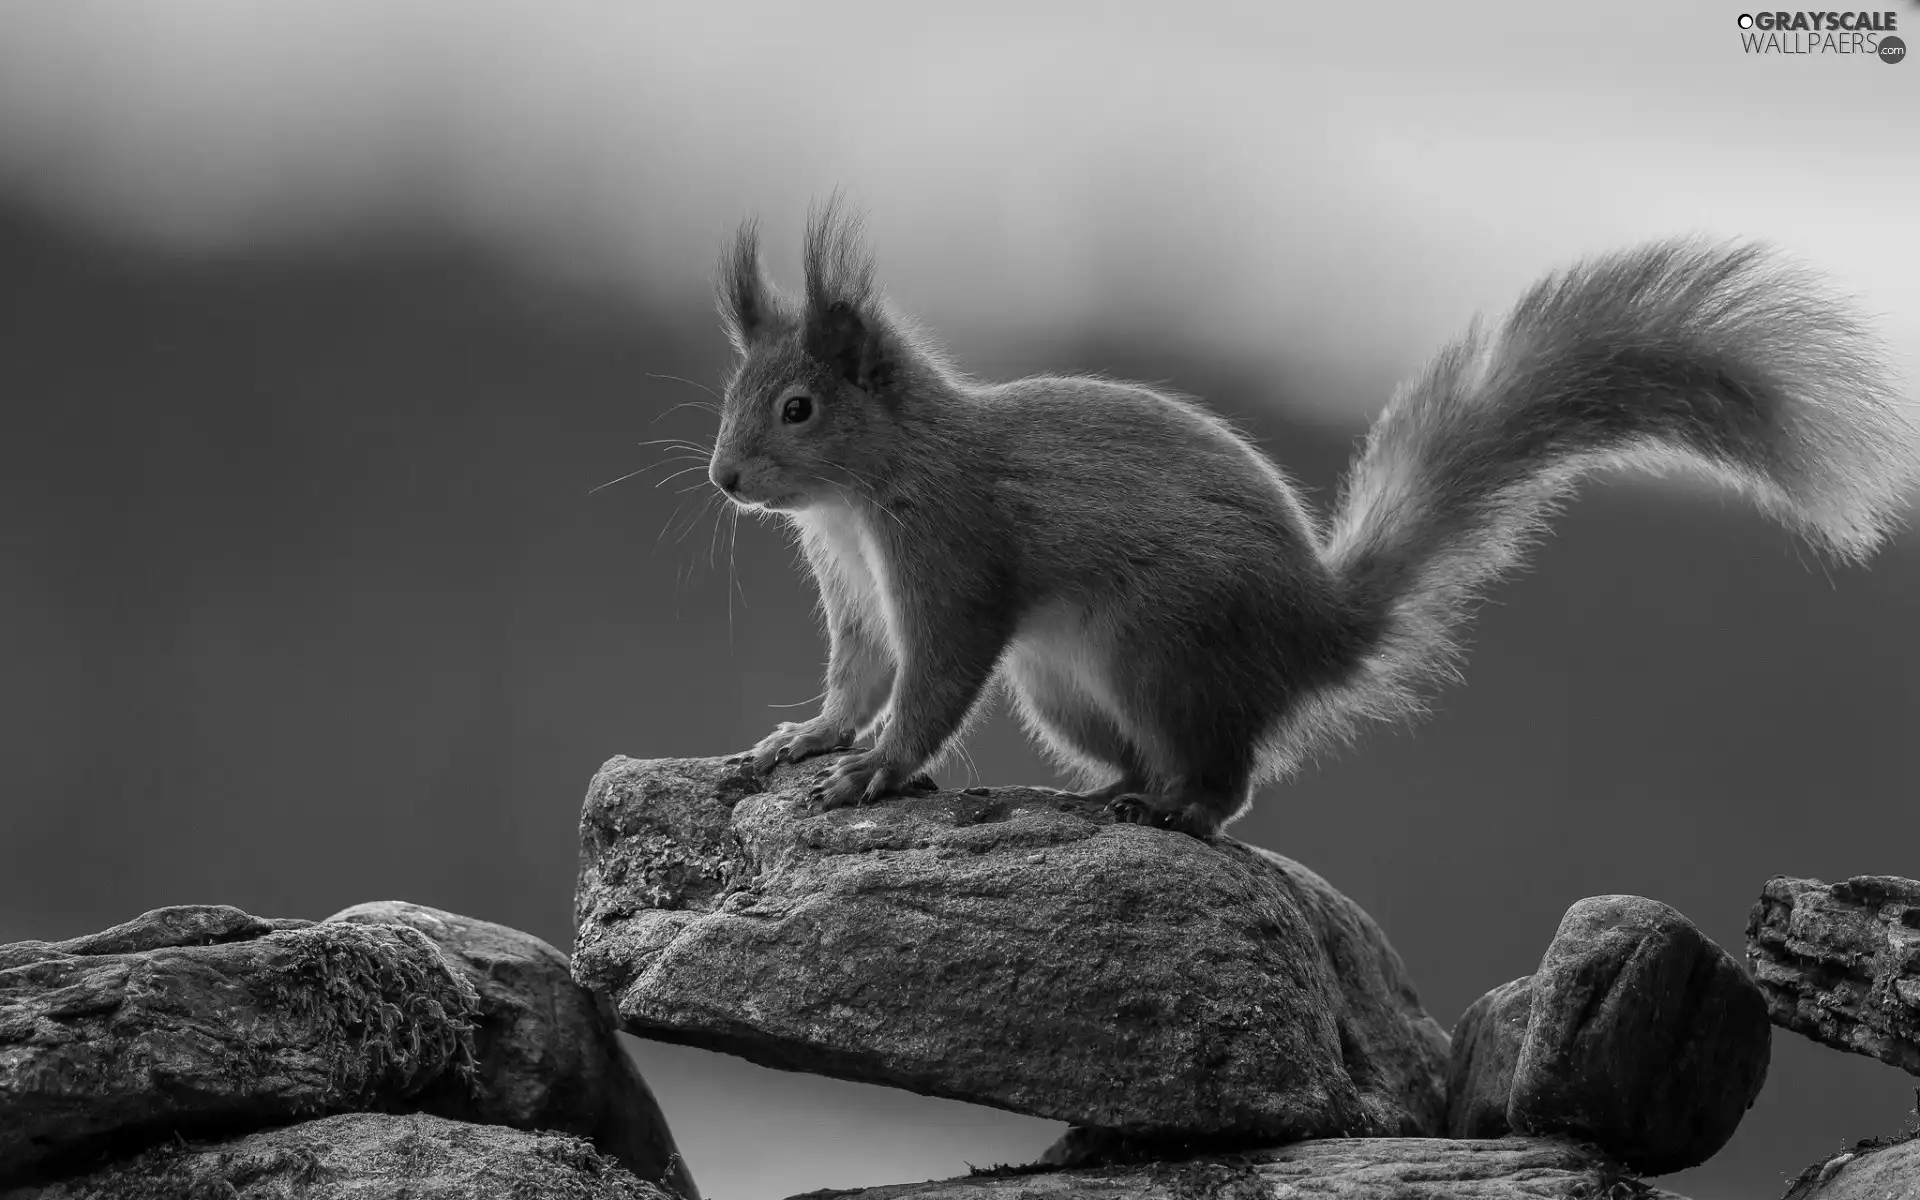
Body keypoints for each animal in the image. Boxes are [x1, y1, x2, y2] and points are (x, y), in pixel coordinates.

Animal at [706, 198, 1920, 833]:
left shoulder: (952, 557)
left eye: (798, 407)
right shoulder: (856, 589)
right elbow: (859, 672)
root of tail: (1318, 633)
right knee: (1158, 759)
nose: (724, 477)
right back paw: (1117, 790)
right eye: (732, 395)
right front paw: (810, 737)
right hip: (1064, 688)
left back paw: (1177, 811)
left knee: (1228, 779)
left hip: (1160, 650)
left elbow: (935, 680)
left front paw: (875, 769)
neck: (863, 494)